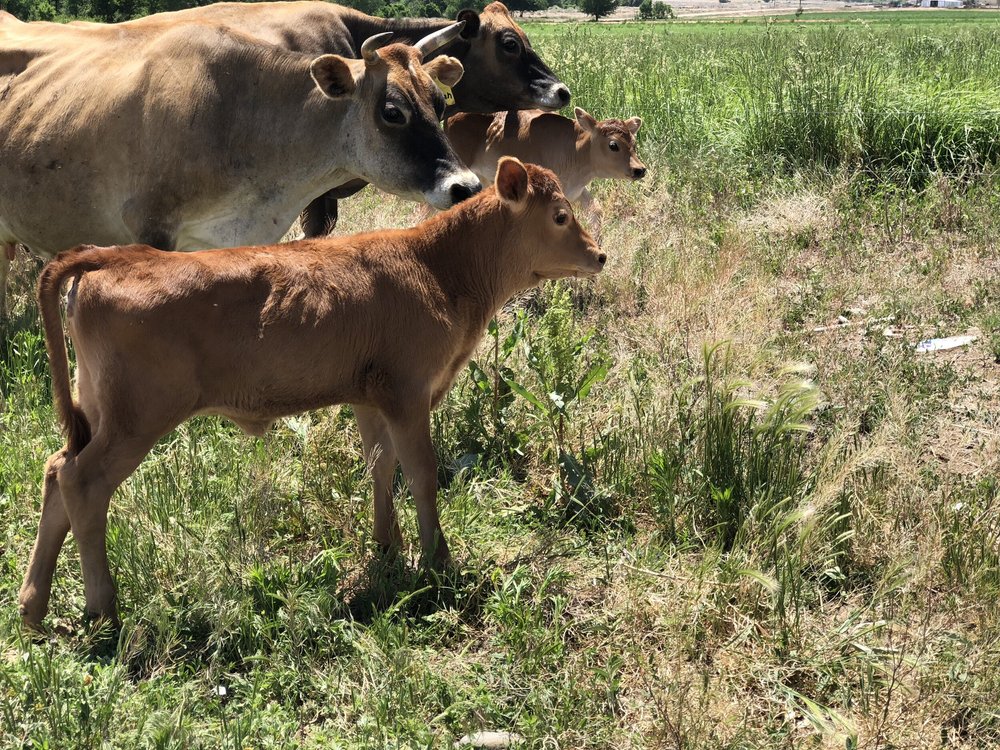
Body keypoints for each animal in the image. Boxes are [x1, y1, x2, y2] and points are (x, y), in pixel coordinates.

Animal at [19, 158, 605, 629]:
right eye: (559, 215)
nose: (599, 255)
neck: (437, 267)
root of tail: (113, 255)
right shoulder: (409, 393)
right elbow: (422, 474)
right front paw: (438, 560)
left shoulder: (371, 397)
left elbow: (380, 466)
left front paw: (387, 548)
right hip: (136, 416)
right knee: (83, 483)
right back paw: (103, 609)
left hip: (98, 408)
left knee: (55, 472)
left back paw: (32, 607)